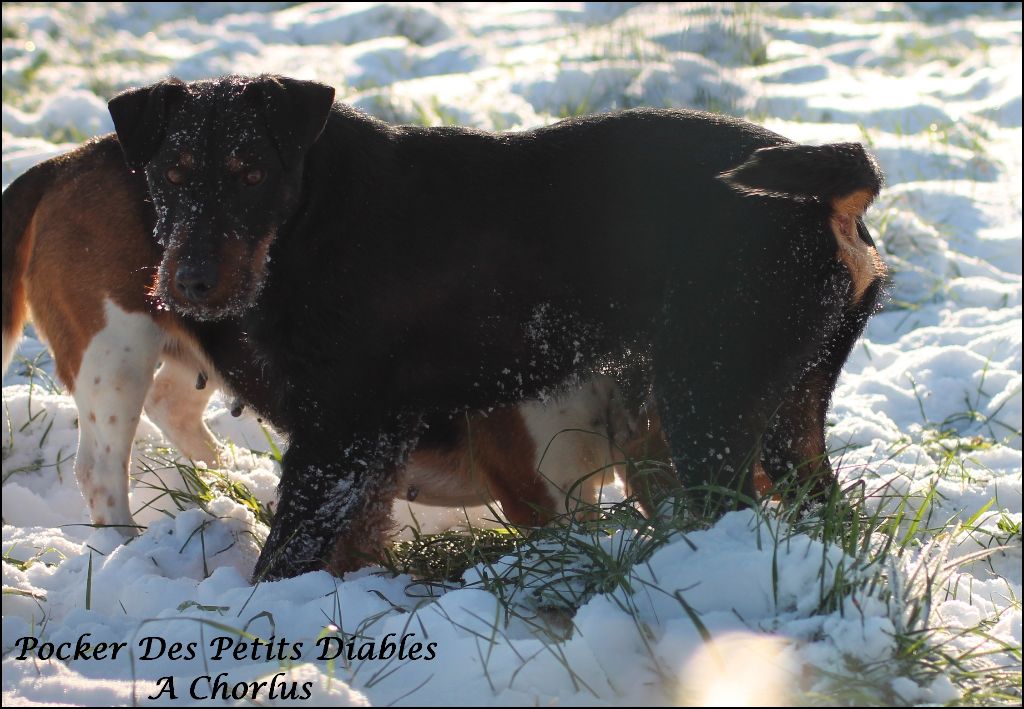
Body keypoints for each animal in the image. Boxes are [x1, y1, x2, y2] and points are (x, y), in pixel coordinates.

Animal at [108, 74, 884, 577]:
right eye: (171, 172)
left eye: (252, 174)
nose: (189, 282)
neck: (308, 219)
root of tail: (837, 194)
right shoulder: (372, 440)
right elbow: (349, 539)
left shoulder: (341, 428)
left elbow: (289, 550)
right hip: (789, 404)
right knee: (821, 503)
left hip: (709, 396)